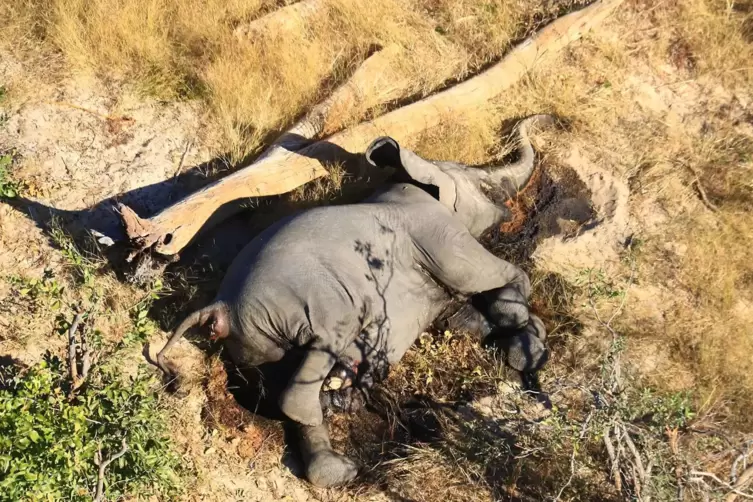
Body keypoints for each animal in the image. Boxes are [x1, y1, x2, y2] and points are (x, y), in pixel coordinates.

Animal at [156, 114, 552, 486]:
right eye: (485, 185)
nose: (543, 120)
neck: (414, 180)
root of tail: (219, 307)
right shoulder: (438, 233)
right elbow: (494, 276)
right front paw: (527, 347)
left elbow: (463, 313)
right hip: (306, 303)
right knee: (317, 356)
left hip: (258, 344)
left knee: (285, 376)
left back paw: (338, 456)